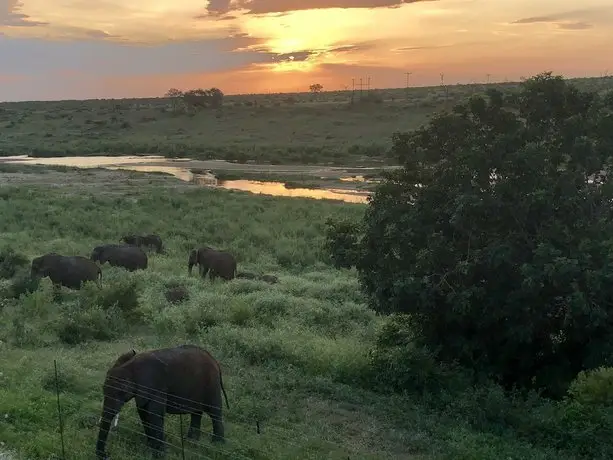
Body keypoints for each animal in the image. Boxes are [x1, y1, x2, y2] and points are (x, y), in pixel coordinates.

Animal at [95, 344, 230, 460]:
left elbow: (154, 414)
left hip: (211, 384)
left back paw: (217, 444)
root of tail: (214, 360)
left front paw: (159, 455)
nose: (106, 455)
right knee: (197, 412)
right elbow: (143, 412)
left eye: (120, 392)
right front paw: (150, 448)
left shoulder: (156, 388)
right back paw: (191, 441)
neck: (130, 367)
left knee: (215, 411)